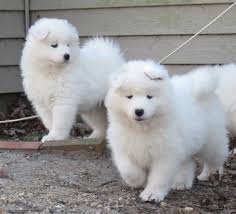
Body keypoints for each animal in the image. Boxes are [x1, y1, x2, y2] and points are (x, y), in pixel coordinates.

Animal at [105, 60, 229, 202]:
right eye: (129, 96)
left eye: (149, 96)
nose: (139, 111)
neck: (142, 129)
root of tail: (198, 85)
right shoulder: (123, 147)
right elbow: (128, 169)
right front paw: (138, 180)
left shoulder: (165, 154)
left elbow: (159, 177)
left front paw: (152, 194)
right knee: (187, 162)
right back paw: (182, 183)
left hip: (210, 141)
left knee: (216, 157)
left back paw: (207, 174)